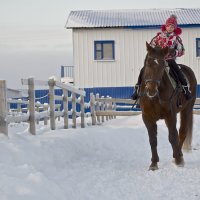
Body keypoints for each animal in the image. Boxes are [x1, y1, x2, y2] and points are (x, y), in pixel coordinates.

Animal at [139, 42, 197, 170]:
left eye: (162, 66)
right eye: (147, 64)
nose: (151, 89)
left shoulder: (170, 116)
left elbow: (172, 136)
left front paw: (178, 160)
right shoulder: (147, 117)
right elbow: (153, 140)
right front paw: (154, 163)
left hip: (187, 109)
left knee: (182, 132)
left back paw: (179, 155)